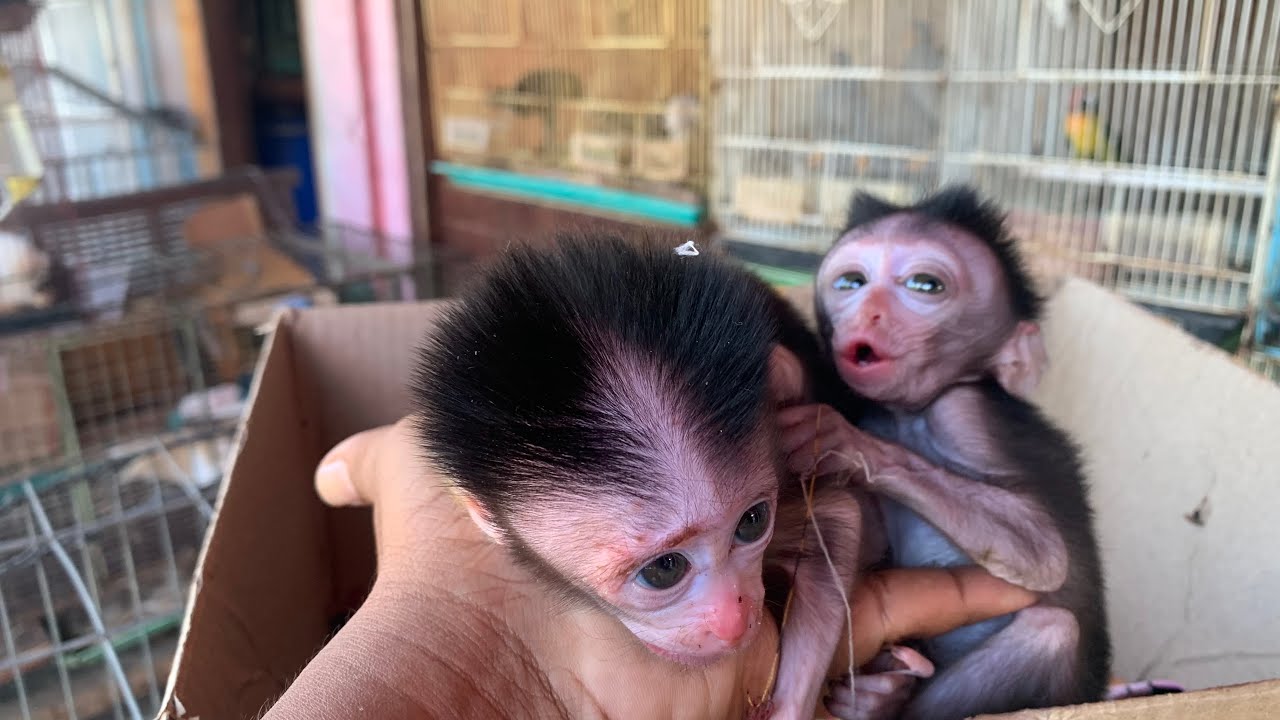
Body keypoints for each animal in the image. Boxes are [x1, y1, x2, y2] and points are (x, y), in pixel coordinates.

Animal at [779, 186, 1110, 720]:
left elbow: (1043, 553)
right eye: (851, 282)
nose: (867, 312)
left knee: (1053, 630)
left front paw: (839, 439)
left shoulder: (962, 412)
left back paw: (882, 702)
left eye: (924, 285)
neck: (902, 417)